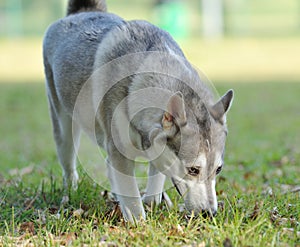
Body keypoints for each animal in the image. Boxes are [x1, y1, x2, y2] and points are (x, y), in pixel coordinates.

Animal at [42, 0, 234, 222]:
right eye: (193, 170)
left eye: (218, 169)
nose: (209, 213)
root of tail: (83, 12)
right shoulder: (119, 154)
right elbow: (131, 196)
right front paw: (138, 223)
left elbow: (155, 178)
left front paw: (152, 201)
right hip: (63, 128)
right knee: (69, 165)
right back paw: (69, 193)